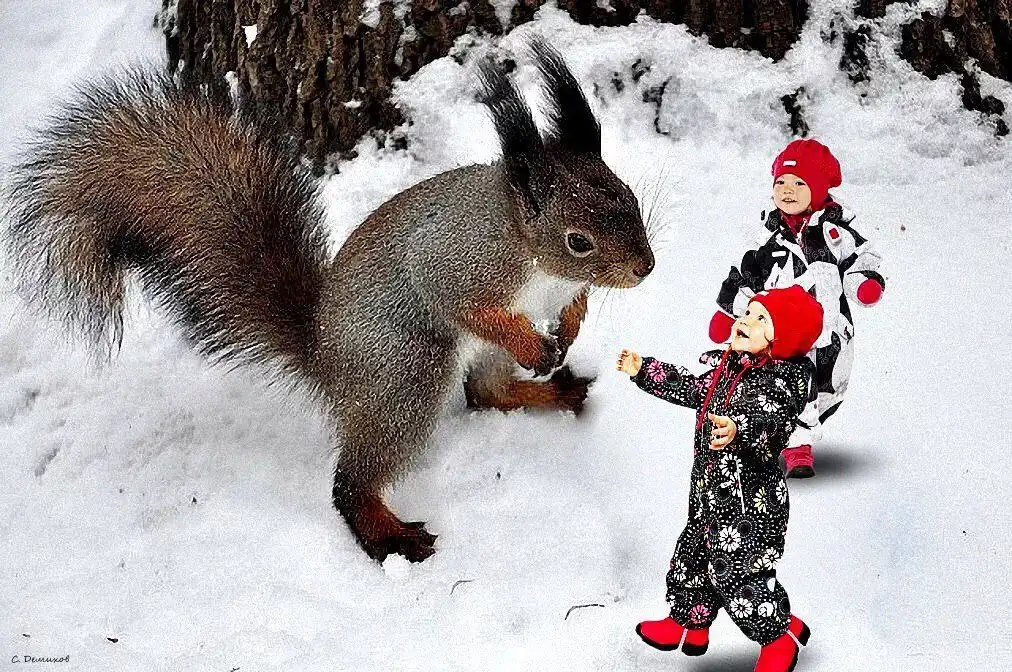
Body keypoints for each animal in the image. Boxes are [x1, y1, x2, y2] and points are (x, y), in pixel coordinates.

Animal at [4, 38, 655, 563]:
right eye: (578, 240)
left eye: (628, 197)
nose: (645, 268)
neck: (529, 252)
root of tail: (328, 358)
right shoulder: (460, 268)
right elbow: (473, 310)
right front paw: (533, 339)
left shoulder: (560, 289)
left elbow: (575, 307)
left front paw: (567, 330)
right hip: (406, 370)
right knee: (354, 479)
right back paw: (387, 533)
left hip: (453, 369)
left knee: (486, 394)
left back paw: (554, 389)